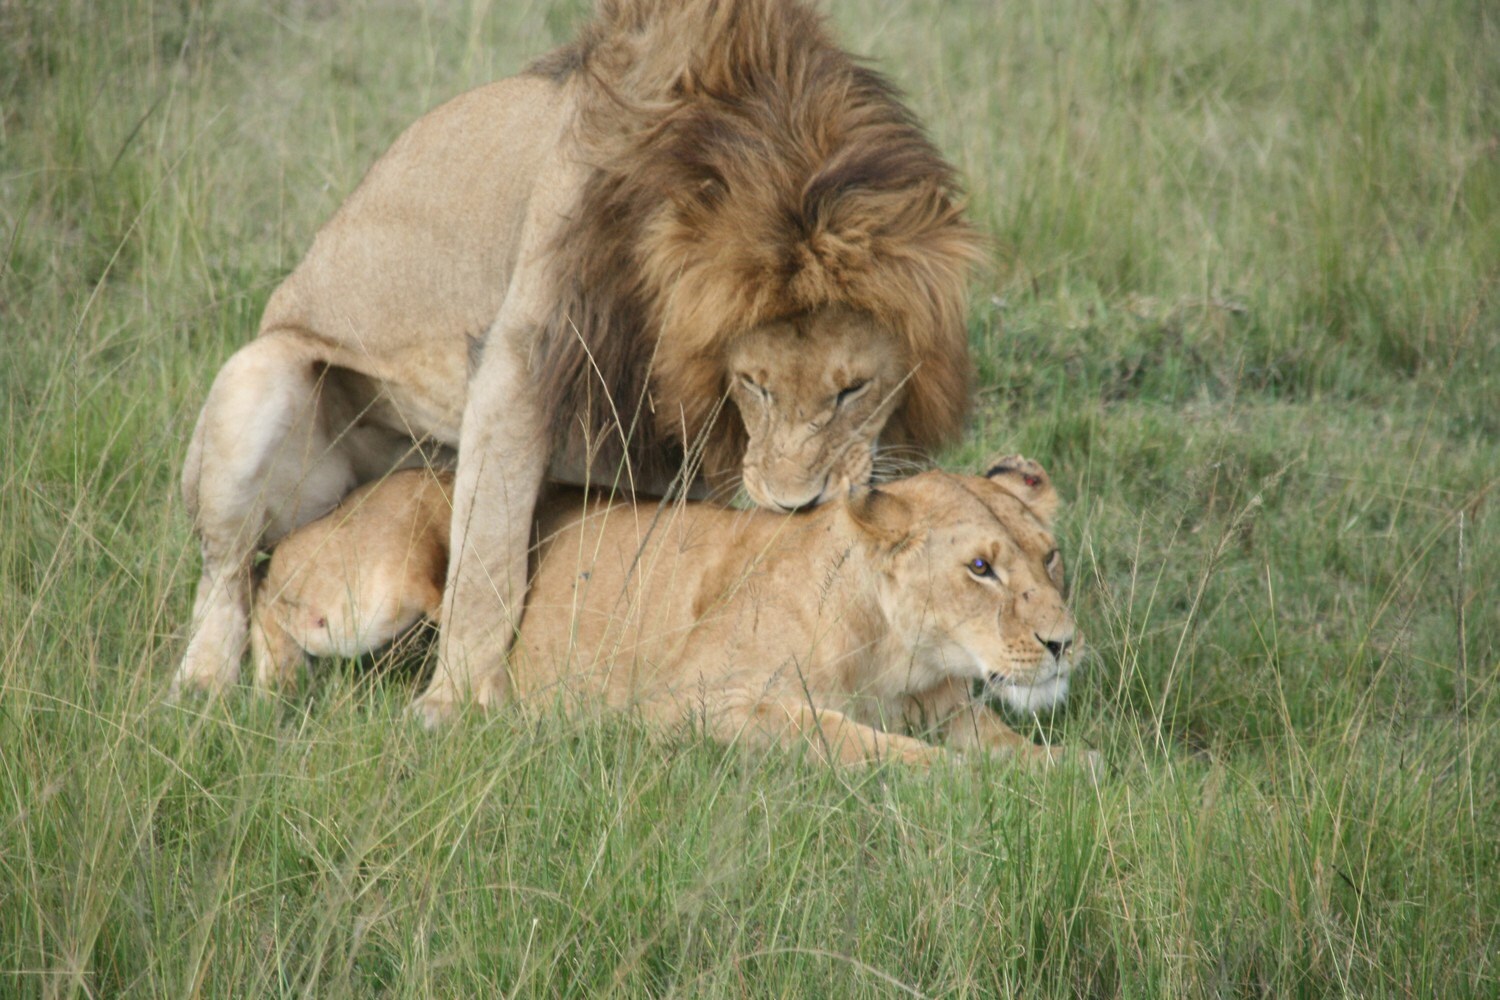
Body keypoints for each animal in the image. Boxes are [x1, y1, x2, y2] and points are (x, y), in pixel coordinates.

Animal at [172, 0, 984, 722]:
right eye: (753, 384)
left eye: (853, 390)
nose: (797, 507)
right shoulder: (524, 355)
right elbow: (488, 559)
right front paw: (456, 706)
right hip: (260, 378)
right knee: (232, 575)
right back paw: (212, 689)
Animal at [243, 458, 1092, 773]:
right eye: (979, 568)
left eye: (1049, 557)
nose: (1064, 644)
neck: (899, 659)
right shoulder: (690, 704)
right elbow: (857, 742)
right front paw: (969, 779)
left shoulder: (949, 706)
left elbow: (1010, 741)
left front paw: (1064, 768)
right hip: (390, 578)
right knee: (264, 589)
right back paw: (271, 690)